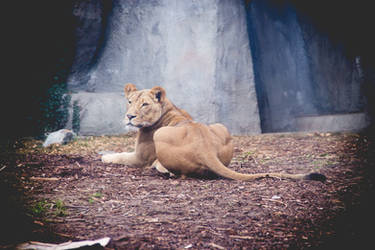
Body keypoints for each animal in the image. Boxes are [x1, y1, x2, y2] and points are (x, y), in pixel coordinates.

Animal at [102, 84, 326, 182]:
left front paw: (104, 156)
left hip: (161, 136)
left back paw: (163, 169)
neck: (169, 108)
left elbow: (119, 156)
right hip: (221, 127)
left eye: (145, 104)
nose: (129, 116)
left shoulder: (140, 157)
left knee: (178, 173)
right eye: (129, 101)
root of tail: (205, 149)